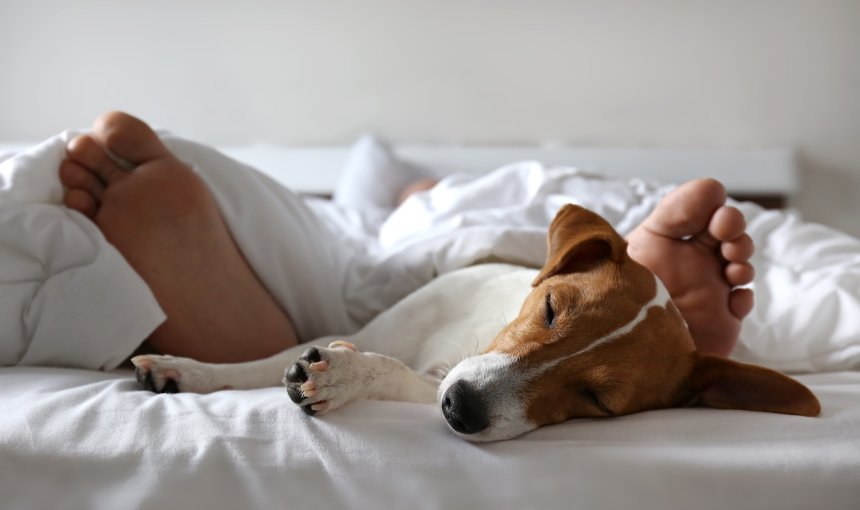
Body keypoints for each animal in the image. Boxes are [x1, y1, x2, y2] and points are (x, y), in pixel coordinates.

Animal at [129, 205, 820, 440]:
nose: (461, 408)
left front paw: (346, 376)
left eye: (599, 401)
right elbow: (258, 362)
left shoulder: (427, 383)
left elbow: (388, 372)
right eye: (550, 309)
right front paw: (184, 369)